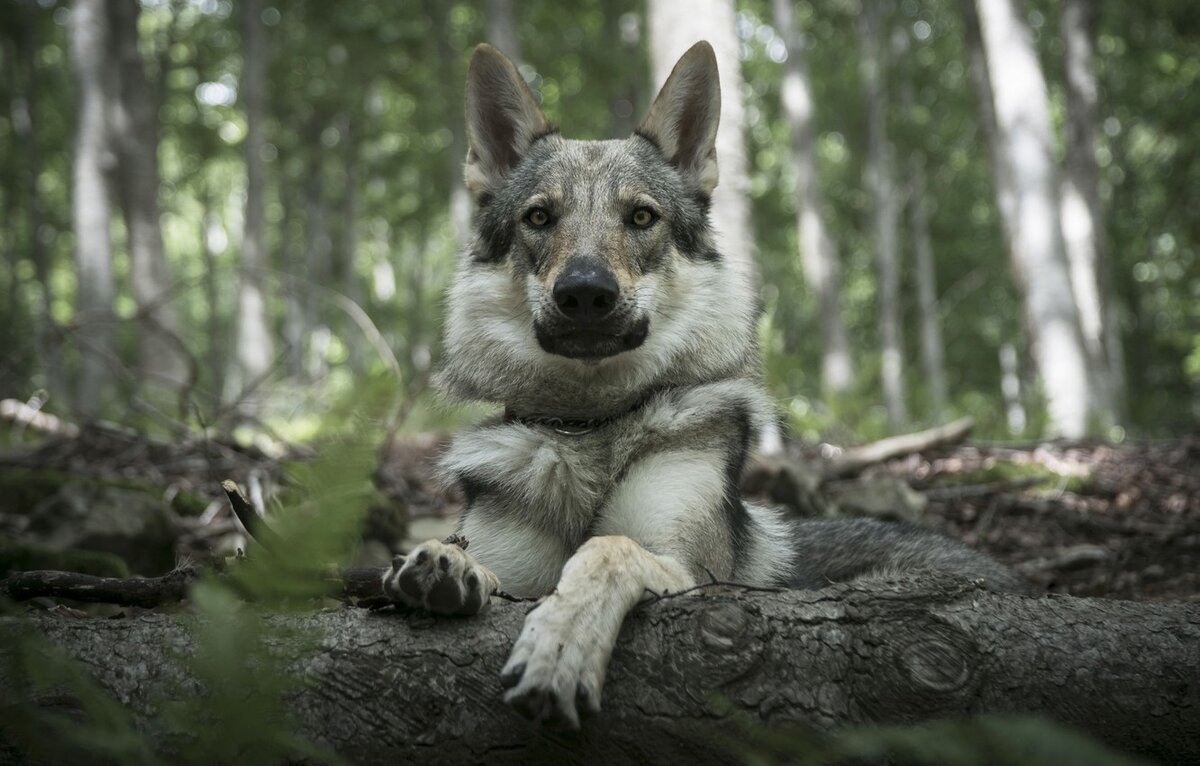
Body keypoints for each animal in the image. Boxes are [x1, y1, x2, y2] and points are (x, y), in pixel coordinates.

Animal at [381, 42, 1022, 729]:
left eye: (641, 217)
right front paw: (445, 563)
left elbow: (605, 549)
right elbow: (486, 563)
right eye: (539, 217)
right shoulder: (514, 558)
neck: (589, 426)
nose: (585, 293)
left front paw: (560, 648)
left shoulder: (688, 569)